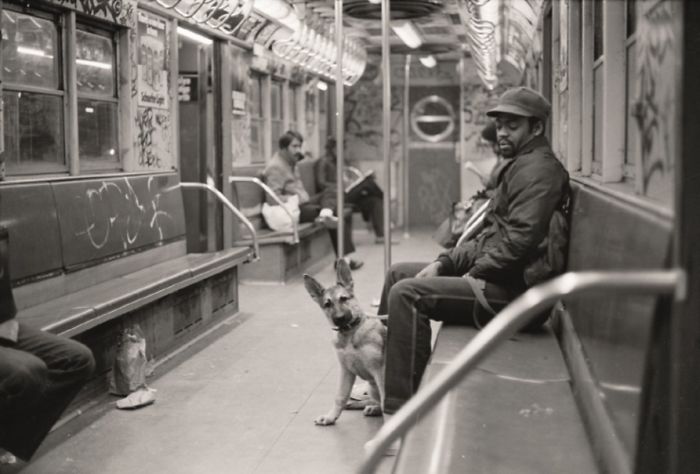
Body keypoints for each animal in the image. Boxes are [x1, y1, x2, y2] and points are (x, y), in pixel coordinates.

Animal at [302, 260, 386, 426]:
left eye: (343, 299)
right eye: (327, 304)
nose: (339, 318)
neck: (350, 333)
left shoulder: (379, 370)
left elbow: (387, 398)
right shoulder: (346, 371)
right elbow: (340, 397)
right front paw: (330, 417)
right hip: (371, 386)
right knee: (373, 400)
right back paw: (370, 407)